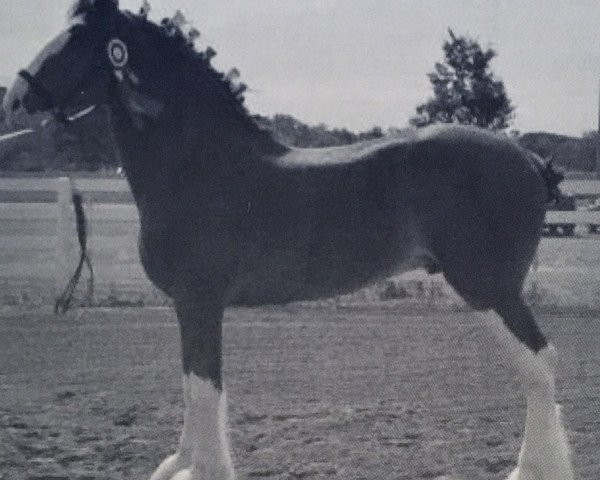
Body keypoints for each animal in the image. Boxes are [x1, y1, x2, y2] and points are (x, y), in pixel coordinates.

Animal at [4, 1, 576, 478]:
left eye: (79, 36)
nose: (15, 99)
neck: (198, 164)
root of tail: (527, 159)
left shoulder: (199, 301)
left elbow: (203, 388)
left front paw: (204, 469)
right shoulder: (192, 307)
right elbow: (192, 385)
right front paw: (179, 463)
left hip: (489, 287)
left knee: (541, 365)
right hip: (486, 290)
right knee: (535, 366)